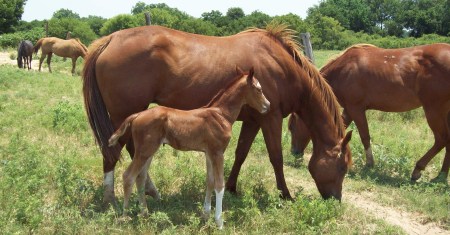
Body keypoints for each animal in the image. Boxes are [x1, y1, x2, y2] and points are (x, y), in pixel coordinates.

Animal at [82, 23, 354, 204]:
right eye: (342, 168)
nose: (336, 200)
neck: (282, 66)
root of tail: (110, 39)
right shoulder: (271, 118)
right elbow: (276, 157)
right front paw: (285, 194)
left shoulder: (254, 119)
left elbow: (241, 153)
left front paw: (232, 187)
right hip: (123, 114)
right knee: (115, 152)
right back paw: (112, 198)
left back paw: (148, 191)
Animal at [288, 42, 450, 182]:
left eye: (291, 127)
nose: (294, 152)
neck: (343, 70)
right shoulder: (349, 110)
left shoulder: (356, 109)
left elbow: (365, 136)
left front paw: (369, 164)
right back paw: (441, 176)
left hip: (433, 110)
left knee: (441, 140)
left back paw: (419, 170)